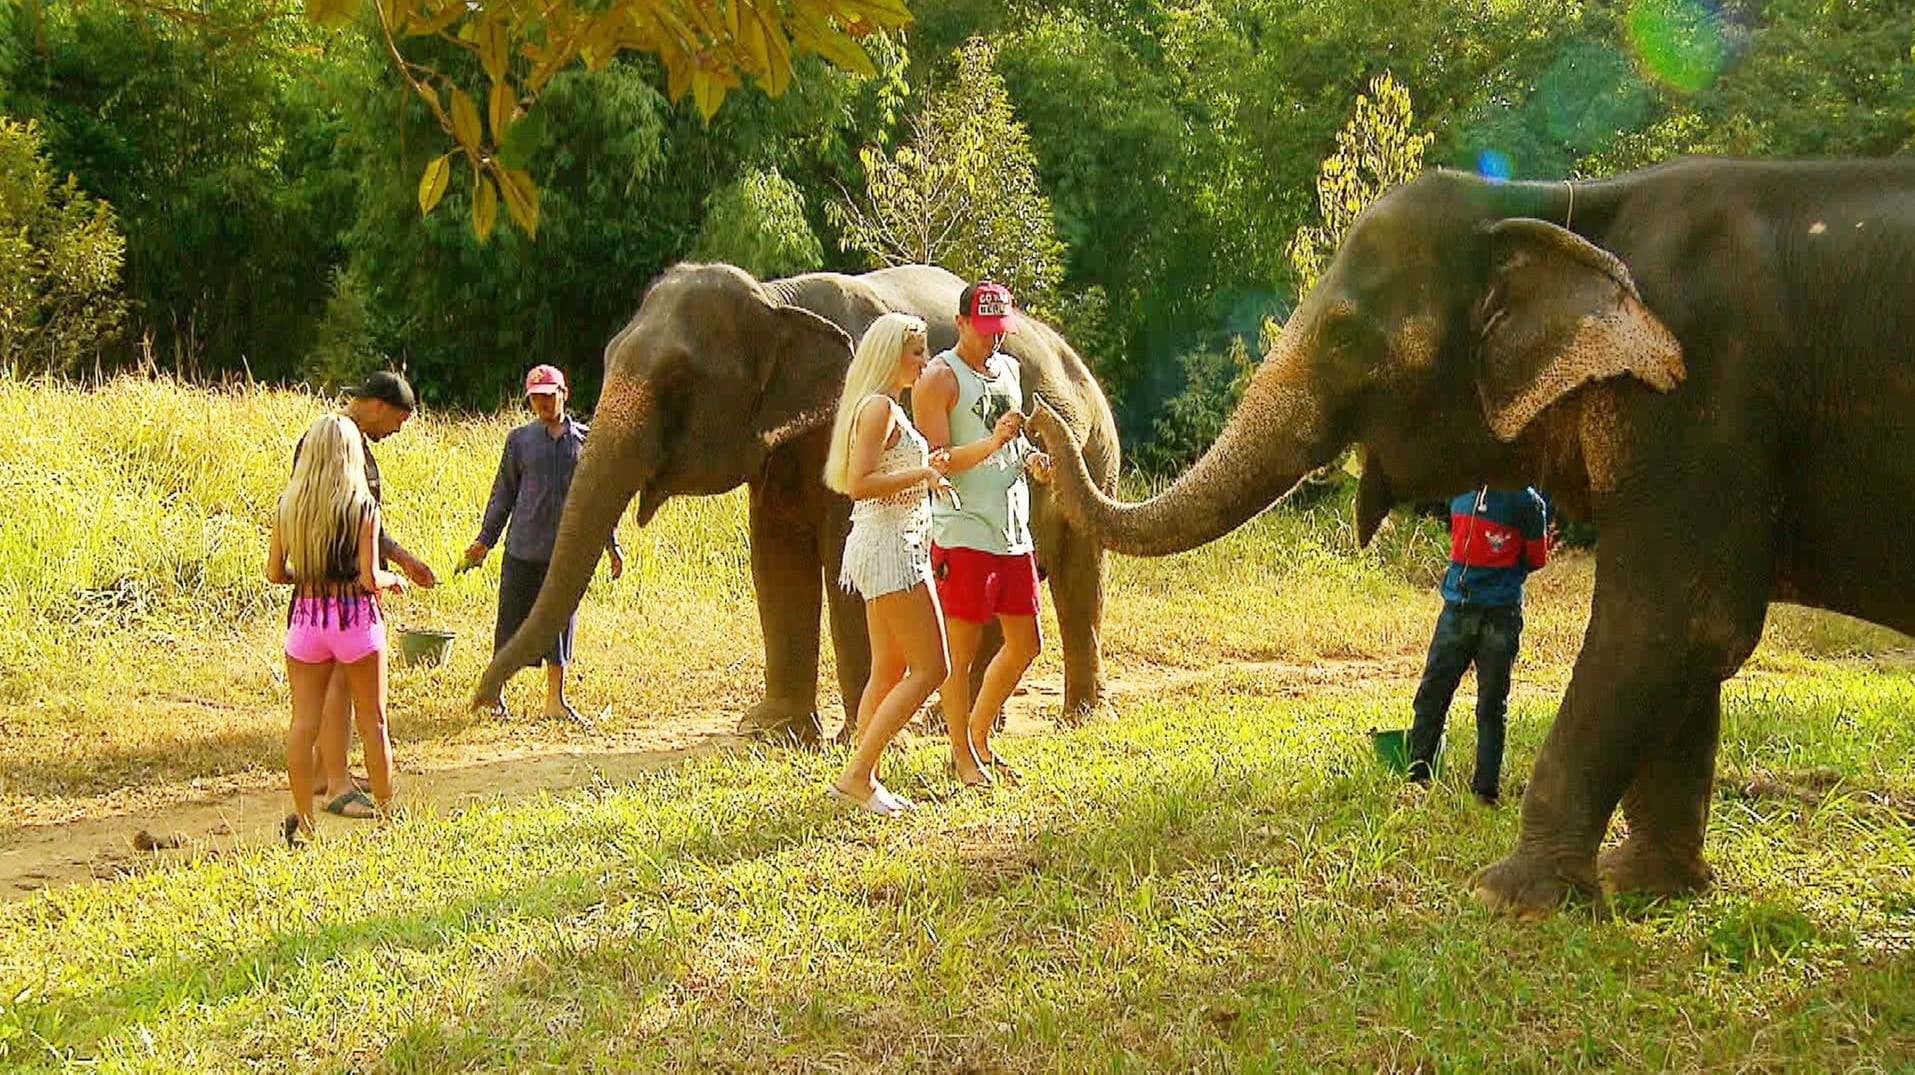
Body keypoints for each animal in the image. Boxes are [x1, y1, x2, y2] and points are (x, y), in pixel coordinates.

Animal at [469, 264, 1118, 743]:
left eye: (678, 382)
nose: (483, 701)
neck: (777, 300)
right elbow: (775, 553)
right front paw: (770, 731)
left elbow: (844, 557)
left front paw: (857, 734)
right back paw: (956, 722)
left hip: (1095, 448)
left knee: (1079, 580)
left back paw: (1078, 718)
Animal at [1034, 157, 1915, 912]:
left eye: (1344, 334)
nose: (1039, 422)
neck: (1564, 203)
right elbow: (1690, 646)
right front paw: (1644, 885)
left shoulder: (1703, 397)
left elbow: (1676, 622)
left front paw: (1507, 898)